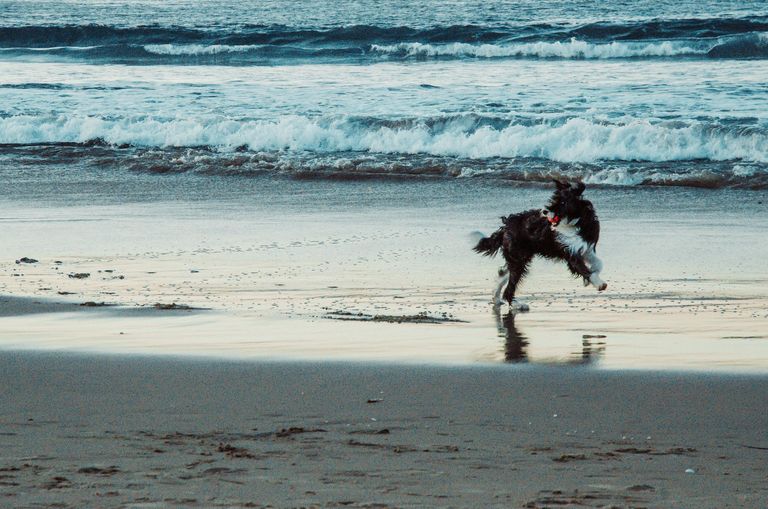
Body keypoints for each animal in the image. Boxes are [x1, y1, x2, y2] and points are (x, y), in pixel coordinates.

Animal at [474, 179, 608, 306]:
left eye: (563, 202)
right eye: (553, 199)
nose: (544, 211)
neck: (575, 223)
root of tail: (506, 226)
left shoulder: (585, 248)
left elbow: (599, 263)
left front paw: (591, 276)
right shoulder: (570, 254)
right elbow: (585, 270)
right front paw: (599, 284)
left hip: (519, 257)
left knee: (503, 273)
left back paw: (497, 298)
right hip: (518, 259)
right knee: (510, 286)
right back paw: (516, 304)